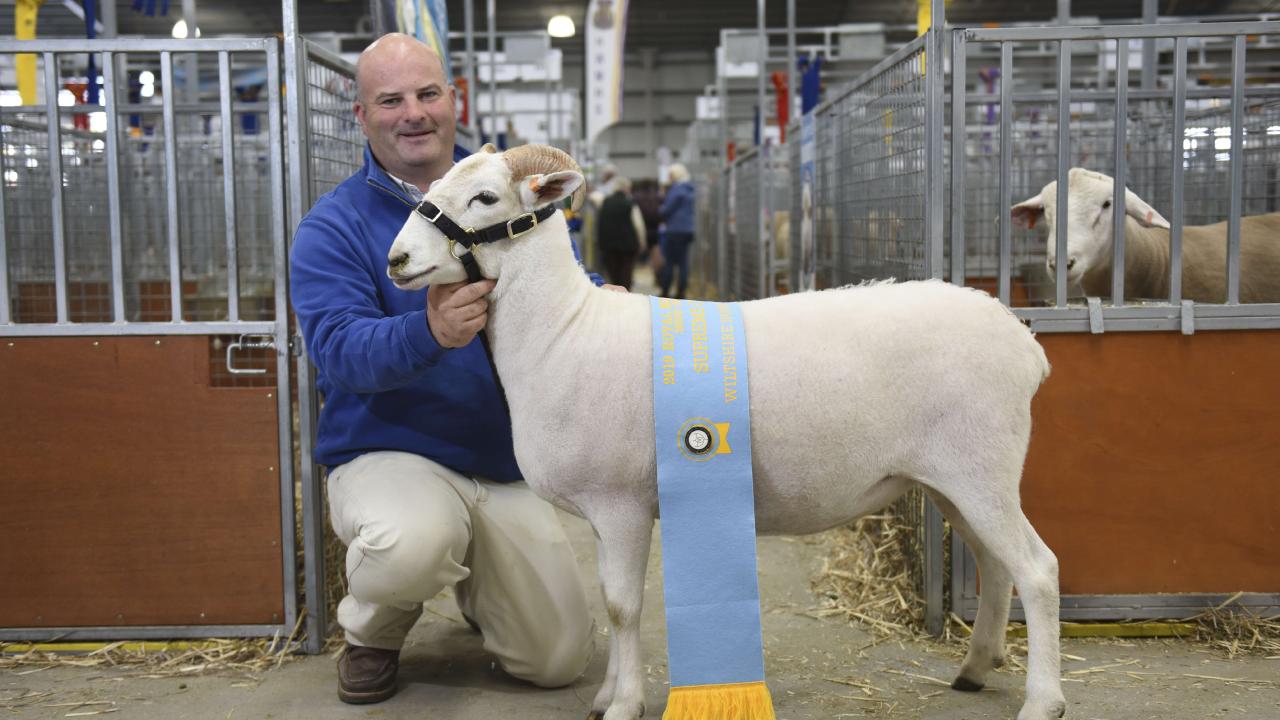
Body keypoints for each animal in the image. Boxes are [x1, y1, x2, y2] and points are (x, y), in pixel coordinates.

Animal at [384, 144, 1064, 717]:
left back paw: (1043, 701)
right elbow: (608, 602)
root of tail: (1025, 343)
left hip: (981, 469)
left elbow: (623, 607)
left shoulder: (621, 504)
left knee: (1037, 569)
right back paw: (975, 669)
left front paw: (624, 705)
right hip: (955, 481)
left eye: (485, 199)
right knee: (996, 565)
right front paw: (605, 698)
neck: (564, 330)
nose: (397, 260)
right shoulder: (602, 512)